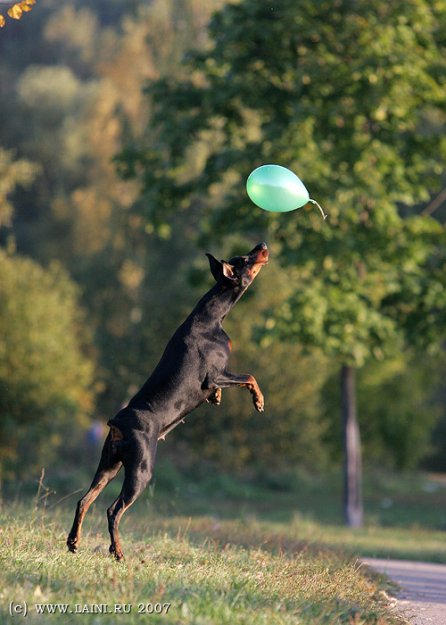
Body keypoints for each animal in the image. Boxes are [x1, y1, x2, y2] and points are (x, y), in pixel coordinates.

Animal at [66, 241, 268, 560]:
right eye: (246, 260)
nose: (262, 244)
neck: (212, 316)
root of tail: (117, 422)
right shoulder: (214, 375)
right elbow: (249, 376)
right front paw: (258, 400)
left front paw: (219, 399)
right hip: (141, 470)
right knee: (113, 510)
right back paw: (118, 551)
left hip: (108, 464)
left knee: (84, 500)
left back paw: (74, 541)